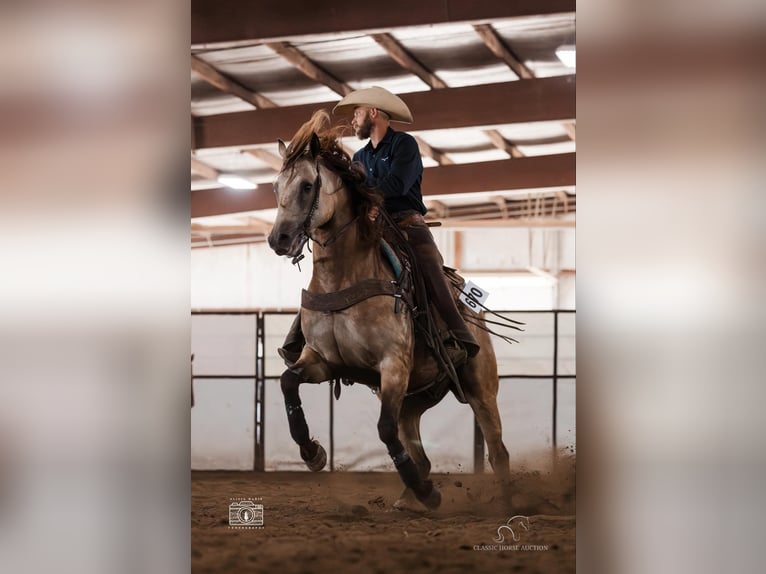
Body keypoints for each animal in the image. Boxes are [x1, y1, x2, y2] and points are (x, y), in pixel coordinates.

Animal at [268, 110, 512, 510]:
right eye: (276, 188)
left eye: (306, 186)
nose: (279, 239)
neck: (343, 276)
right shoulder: (321, 360)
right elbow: (289, 382)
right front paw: (313, 453)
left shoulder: (393, 366)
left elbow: (383, 429)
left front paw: (429, 493)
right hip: (411, 401)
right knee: (422, 453)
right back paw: (409, 498)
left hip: (480, 387)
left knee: (497, 451)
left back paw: (504, 504)